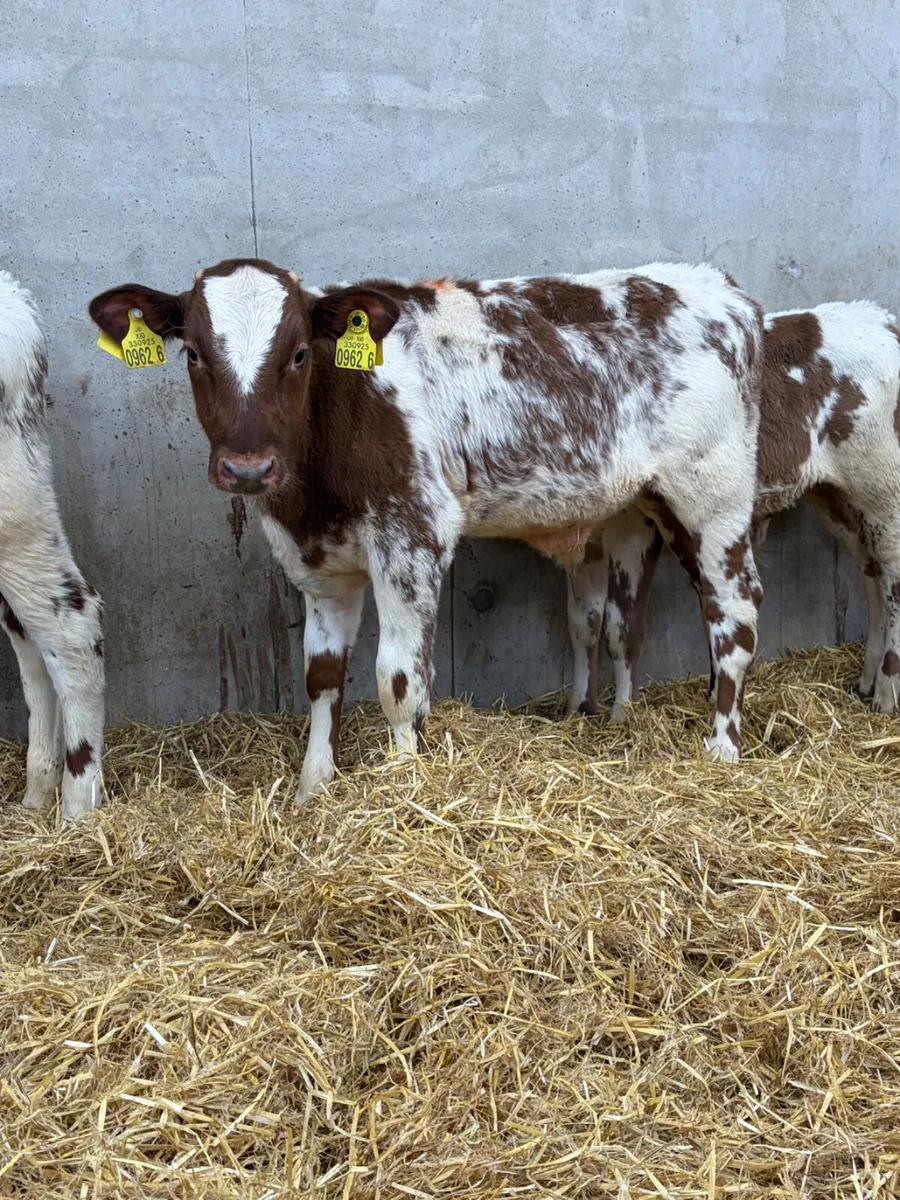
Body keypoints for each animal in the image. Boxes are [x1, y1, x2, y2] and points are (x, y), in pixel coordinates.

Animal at [90, 257, 763, 800]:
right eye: (194, 354)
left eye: (300, 353)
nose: (248, 467)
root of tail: (723, 290)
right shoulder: (318, 565)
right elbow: (322, 679)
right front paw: (313, 790)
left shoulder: (412, 535)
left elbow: (398, 678)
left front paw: (405, 782)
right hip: (630, 512)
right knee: (623, 622)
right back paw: (618, 723)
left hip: (711, 494)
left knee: (735, 613)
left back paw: (723, 749)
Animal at [565, 301, 900, 721]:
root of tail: (881, 319)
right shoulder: (585, 540)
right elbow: (584, 623)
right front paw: (577, 710)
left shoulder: (636, 523)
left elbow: (621, 625)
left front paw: (623, 717)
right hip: (834, 493)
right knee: (874, 572)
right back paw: (868, 679)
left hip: (882, 483)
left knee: (894, 577)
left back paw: (886, 693)